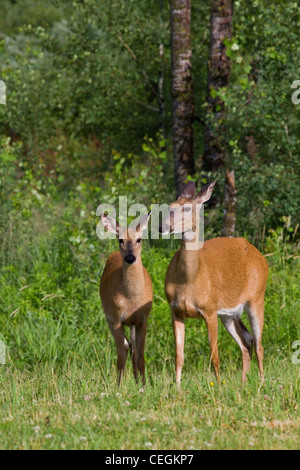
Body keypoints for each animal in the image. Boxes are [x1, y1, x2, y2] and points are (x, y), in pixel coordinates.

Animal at [99, 213, 152, 386]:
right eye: (120, 239)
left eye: (139, 239)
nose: (130, 257)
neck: (131, 299)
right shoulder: (116, 318)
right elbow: (120, 357)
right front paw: (119, 385)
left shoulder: (143, 318)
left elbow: (141, 356)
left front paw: (144, 385)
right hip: (109, 316)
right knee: (126, 346)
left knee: (132, 347)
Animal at [159, 180, 270, 386]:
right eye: (170, 206)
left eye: (187, 208)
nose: (162, 227)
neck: (189, 281)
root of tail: (259, 255)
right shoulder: (175, 310)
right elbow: (179, 356)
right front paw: (177, 387)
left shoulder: (209, 309)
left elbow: (215, 356)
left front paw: (218, 386)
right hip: (229, 313)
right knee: (246, 341)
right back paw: (243, 383)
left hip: (257, 297)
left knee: (259, 344)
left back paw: (261, 382)